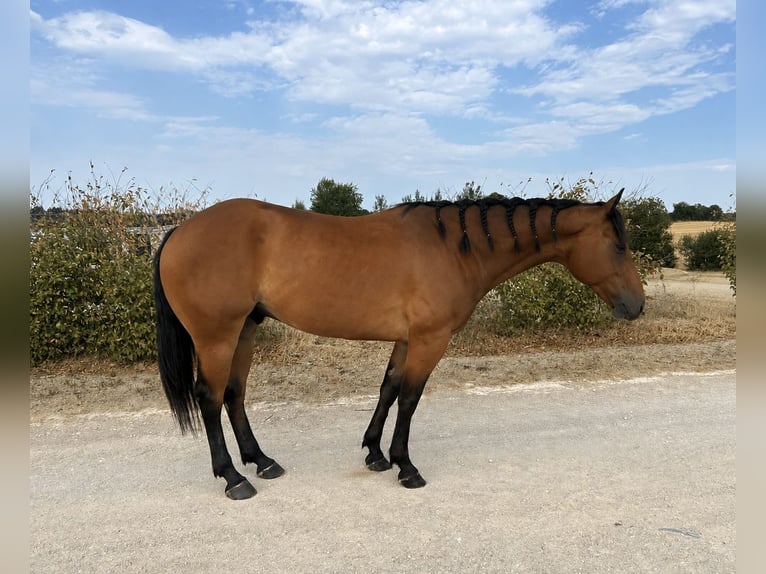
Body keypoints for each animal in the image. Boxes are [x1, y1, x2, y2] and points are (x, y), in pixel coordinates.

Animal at [153, 190, 644, 499]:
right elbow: (409, 398)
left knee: (234, 395)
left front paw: (375, 454)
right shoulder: (430, 340)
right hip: (217, 336)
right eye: (618, 246)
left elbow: (388, 390)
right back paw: (233, 478)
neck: (456, 249)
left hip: (245, 331)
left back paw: (261, 461)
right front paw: (405, 466)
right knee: (210, 398)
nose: (636, 305)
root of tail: (180, 230)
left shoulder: (407, 340)